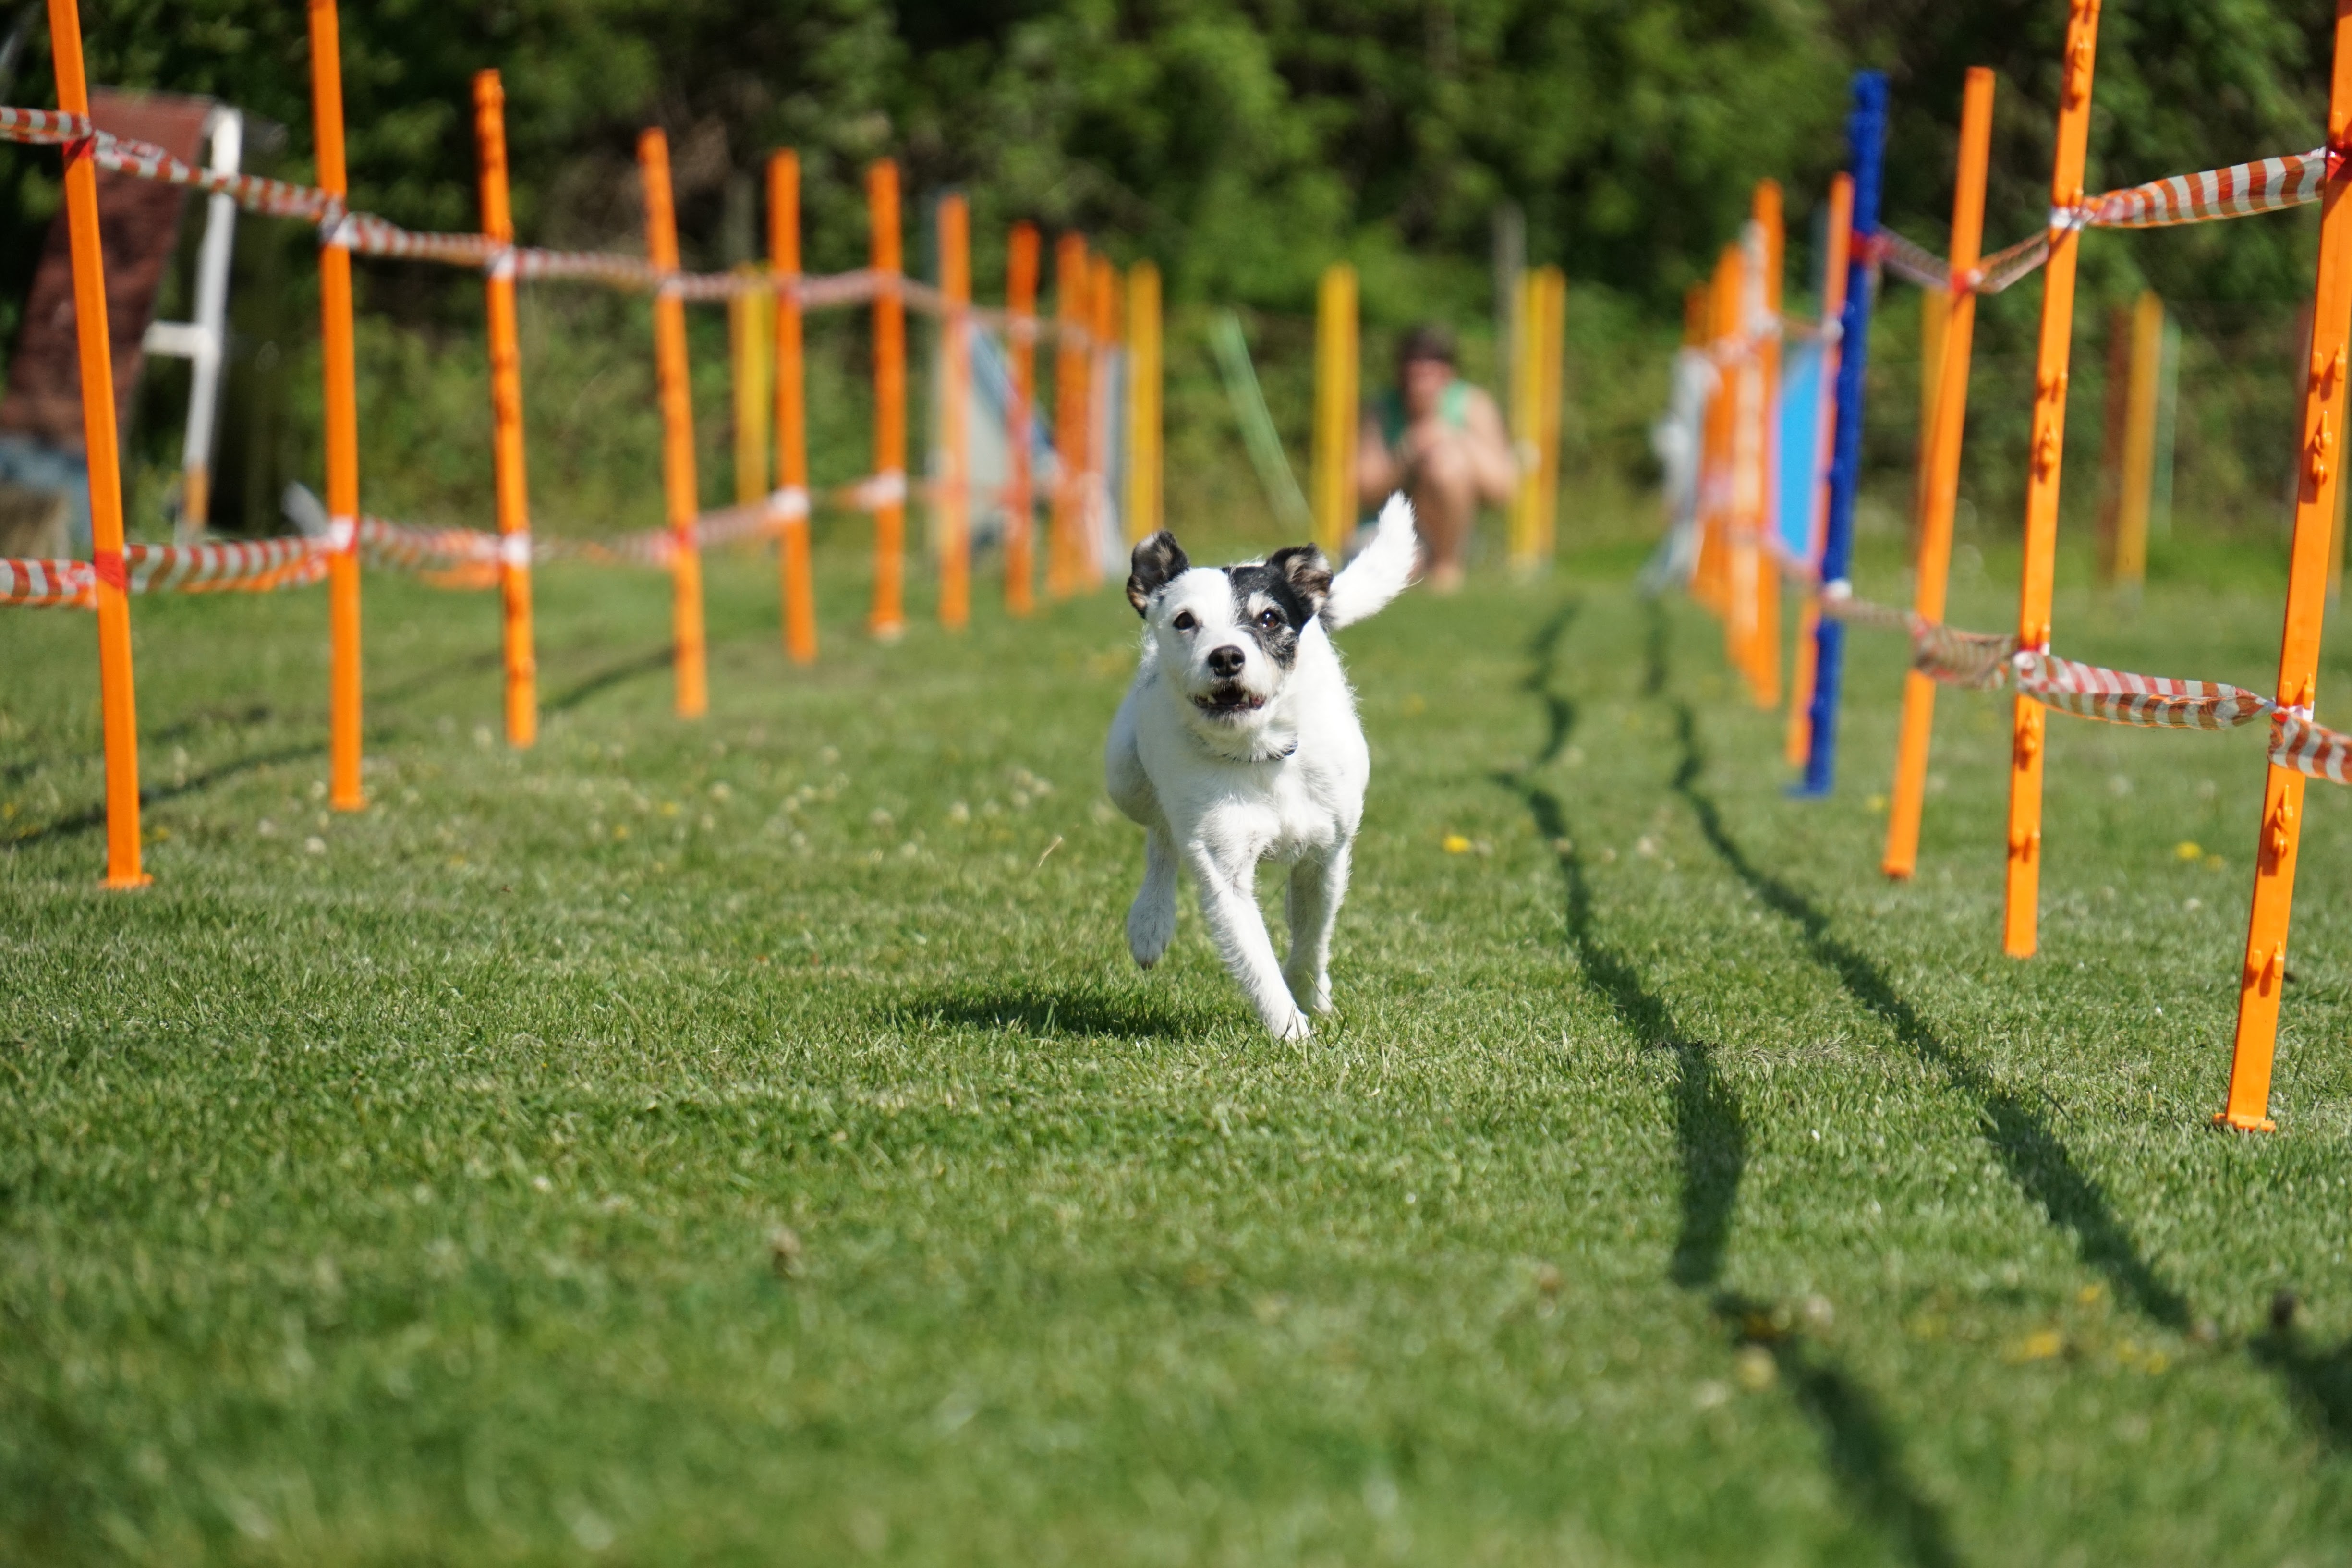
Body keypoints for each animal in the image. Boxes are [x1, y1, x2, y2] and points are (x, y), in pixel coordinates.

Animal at [1104, 494, 1418, 1038]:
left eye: (1269, 619)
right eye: (1184, 621)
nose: (1227, 656)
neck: (1260, 755)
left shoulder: (1326, 854)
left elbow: (1312, 935)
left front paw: (1311, 994)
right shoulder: (1223, 869)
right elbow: (1256, 960)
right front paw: (1292, 1032)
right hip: (1124, 774)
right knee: (1161, 836)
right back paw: (1150, 922)